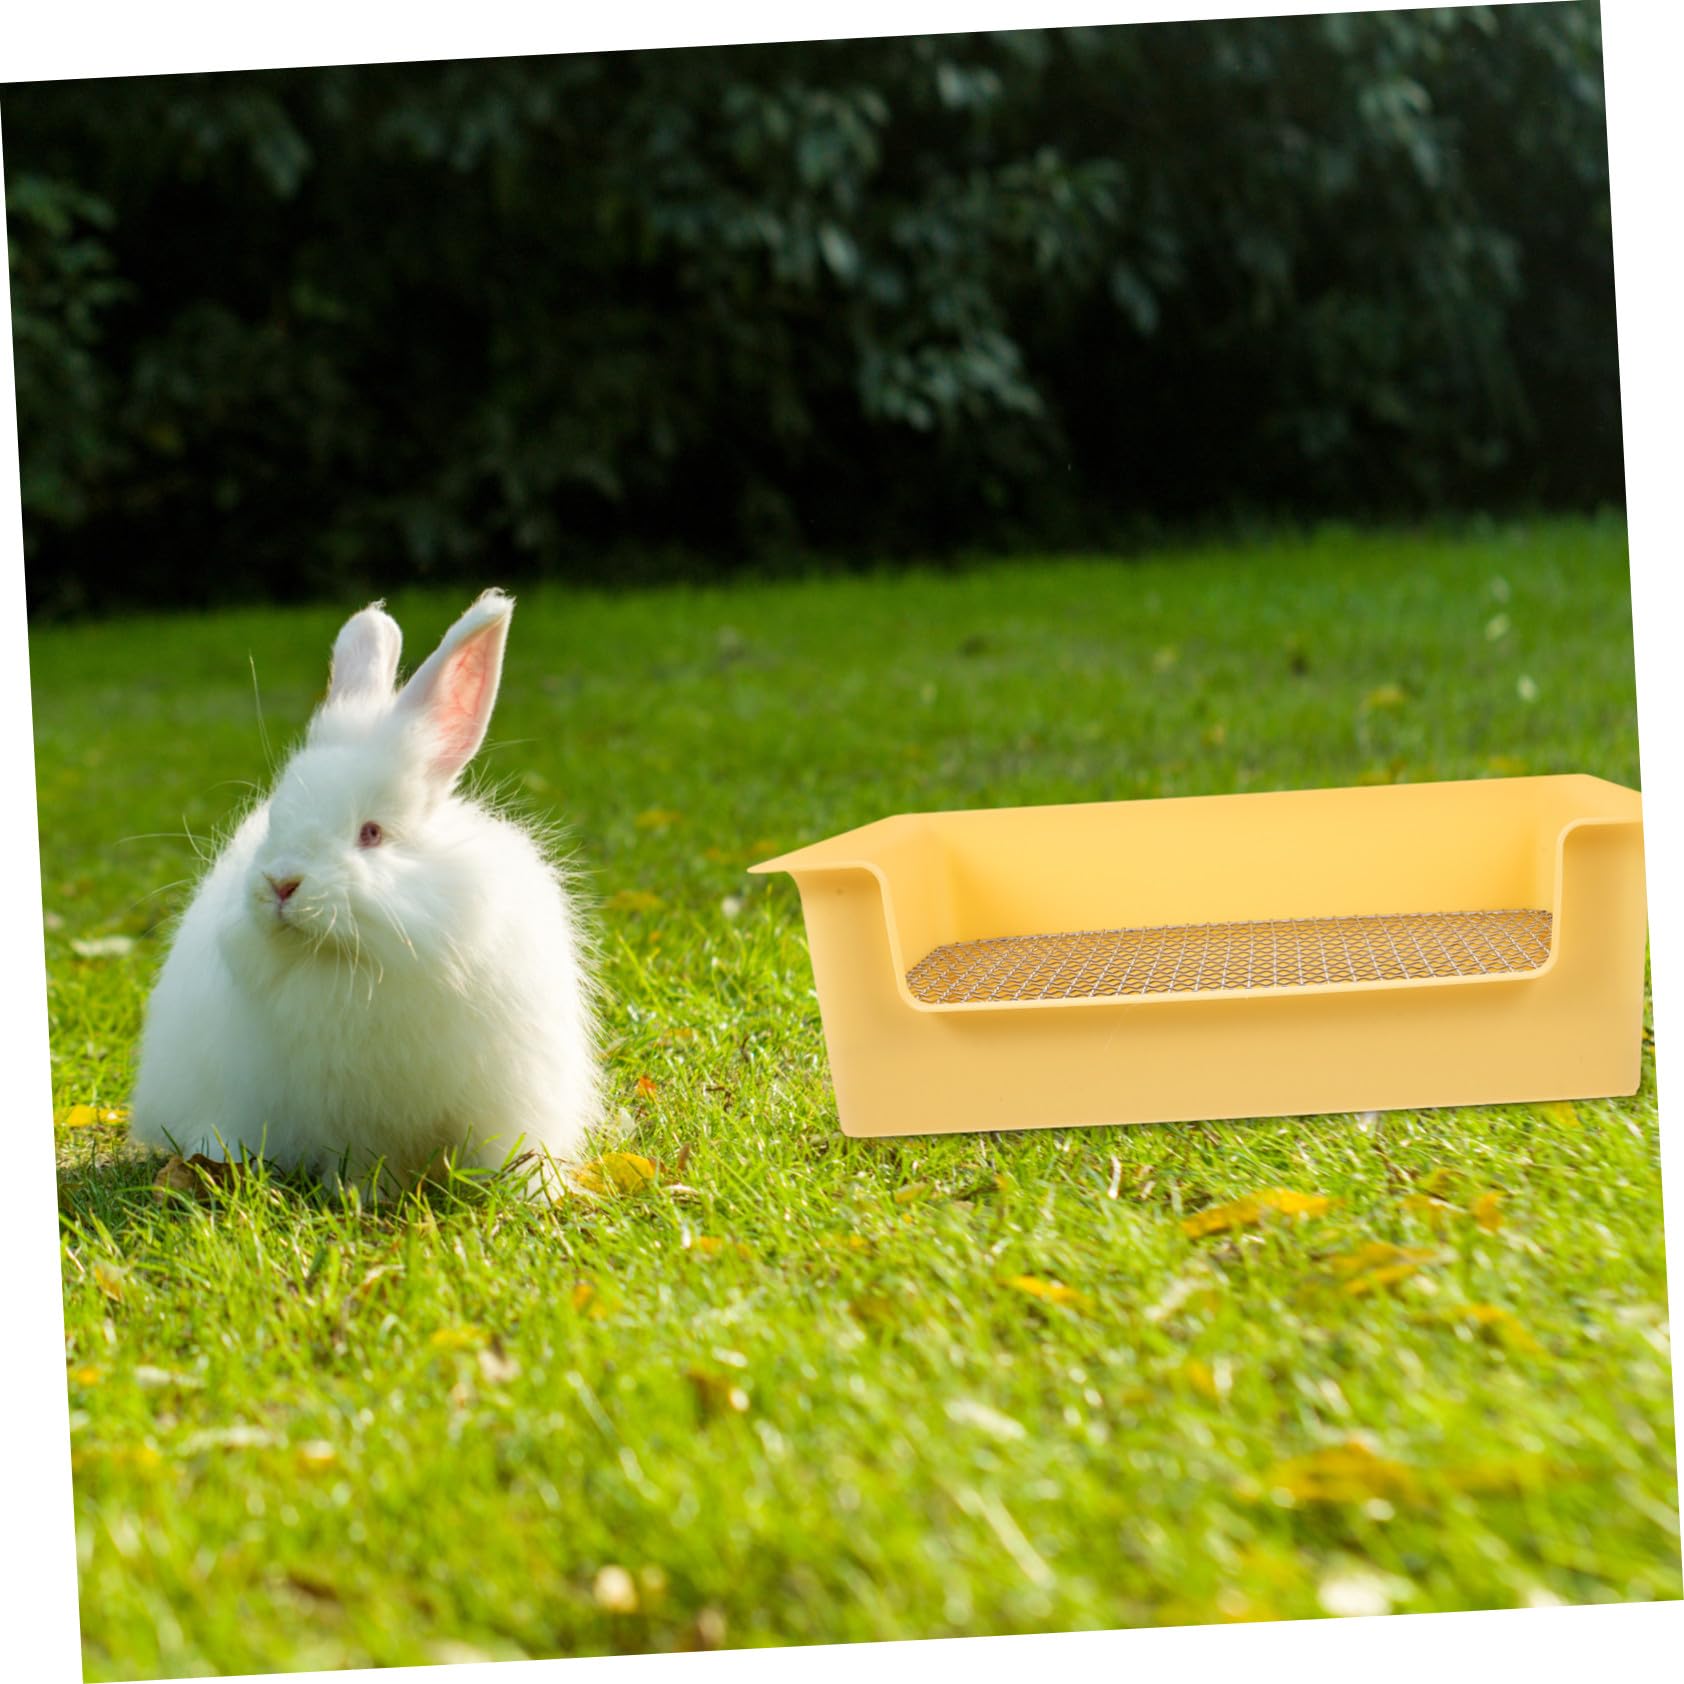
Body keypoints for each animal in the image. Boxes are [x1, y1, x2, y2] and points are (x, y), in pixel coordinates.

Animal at [129, 589, 601, 1197]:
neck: (363, 958)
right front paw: (363, 1198)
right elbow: (364, 1163)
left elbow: (506, 1154)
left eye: (371, 834)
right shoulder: (349, 1119)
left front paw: (528, 1194)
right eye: (275, 821)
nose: (281, 884)